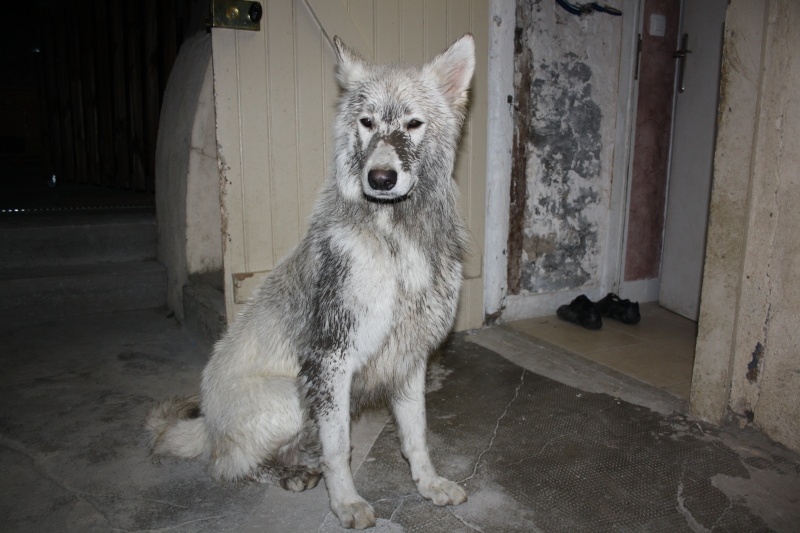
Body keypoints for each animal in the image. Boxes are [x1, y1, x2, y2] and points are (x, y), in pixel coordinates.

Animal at [148, 33, 476, 528]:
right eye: (366, 122)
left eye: (414, 124)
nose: (381, 178)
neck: (396, 240)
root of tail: (206, 425)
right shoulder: (330, 361)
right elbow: (339, 449)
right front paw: (346, 503)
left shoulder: (409, 361)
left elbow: (416, 436)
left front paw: (429, 484)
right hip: (291, 396)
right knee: (225, 465)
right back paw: (289, 474)